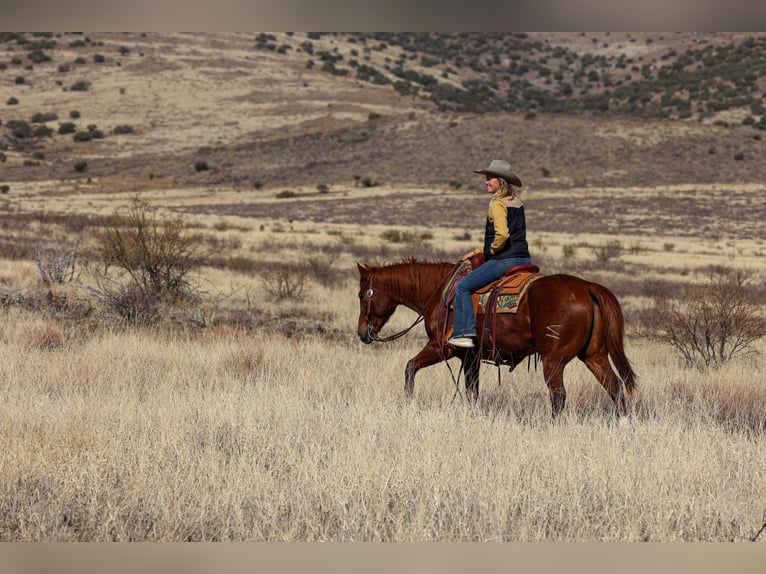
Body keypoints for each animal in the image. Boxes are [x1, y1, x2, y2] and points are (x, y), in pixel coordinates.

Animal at [356, 260, 640, 418]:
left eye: (361, 295)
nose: (362, 333)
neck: (439, 292)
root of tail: (586, 286)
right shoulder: (470, 357)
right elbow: (472, 391)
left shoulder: (441, 348)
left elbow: (410, 367)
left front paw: (408, 402)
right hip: (594, 355)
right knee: (614, 387)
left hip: (554, 361)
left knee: (558, 396)